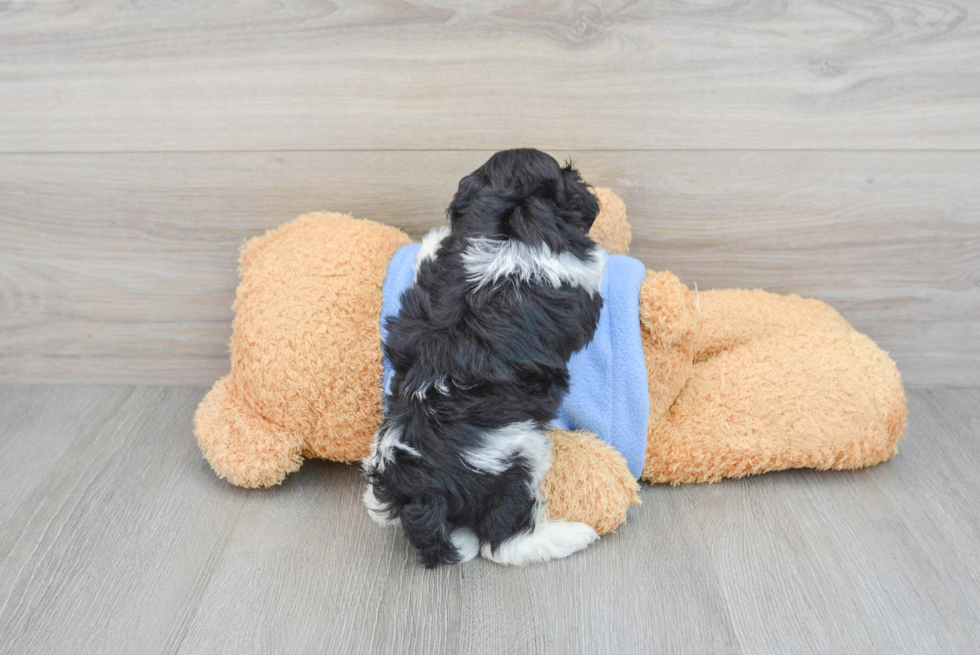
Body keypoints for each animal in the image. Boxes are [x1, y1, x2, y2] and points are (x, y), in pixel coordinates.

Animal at [362, 149, 604, 568]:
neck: (506, 225)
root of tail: (421, 492)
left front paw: (433, 238)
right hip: (519, 454)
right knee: (501, 541)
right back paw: (570, 536)